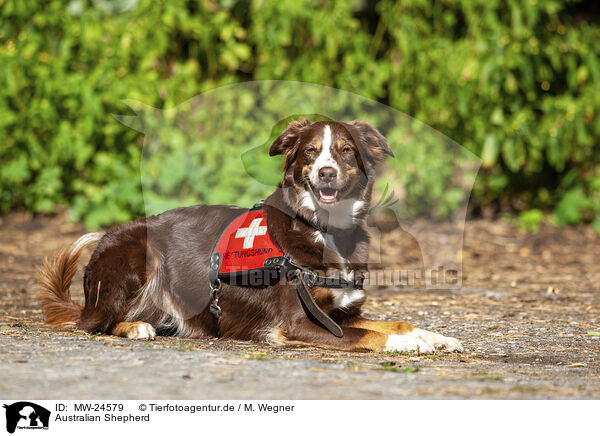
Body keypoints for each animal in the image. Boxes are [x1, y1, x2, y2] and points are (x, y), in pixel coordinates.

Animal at [38, 119, 464, 354]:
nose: (326, 172)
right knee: (94, 324)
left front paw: (432, 337)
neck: (324, 229)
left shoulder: (342, 312)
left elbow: (393, 322)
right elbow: (368, 336)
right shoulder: (299, 324)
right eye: (311, 152)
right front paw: (411, 344)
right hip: (138, 253)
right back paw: (135, 327)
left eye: (345, 151)